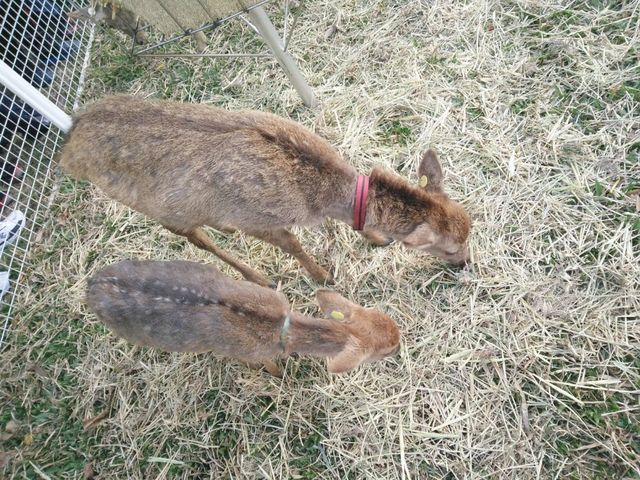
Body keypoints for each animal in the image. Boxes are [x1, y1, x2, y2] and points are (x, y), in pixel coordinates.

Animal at [60, 95, 470, 286]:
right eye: (450, 248)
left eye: (470, 227)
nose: (465, 263)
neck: (315, 194)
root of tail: (71, 140)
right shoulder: (257, 220)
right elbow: (293, 245)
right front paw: (323, 276)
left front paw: (375, 237)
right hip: (153, 206)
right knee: (192, 236)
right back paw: (257, 277)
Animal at [86, 258, 400, 376]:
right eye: (386, 350)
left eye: (385, 317)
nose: (400, 345)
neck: (282, 330)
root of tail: (90, 286)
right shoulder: (246, 352)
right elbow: (267, 366)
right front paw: (278, 376)